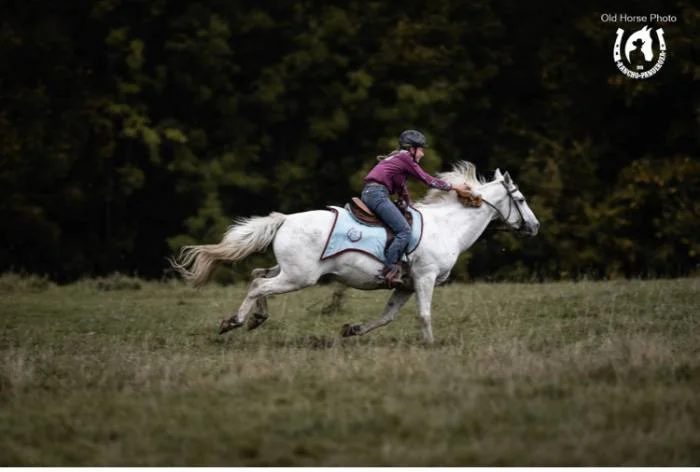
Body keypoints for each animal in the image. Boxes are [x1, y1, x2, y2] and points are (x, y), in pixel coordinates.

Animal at [171, 162, 540, 342]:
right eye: (521, 199)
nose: (535, 227)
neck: (446, 226)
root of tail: (285, 219)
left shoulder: (405, 285)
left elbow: (387, 316)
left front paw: (352, 330)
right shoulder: (424, 278)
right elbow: (424, 314)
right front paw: (431, 343)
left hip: (289, 271)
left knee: (257, 276)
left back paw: (255, 319)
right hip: (299, 277)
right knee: (260, 285)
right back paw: (233, 322)